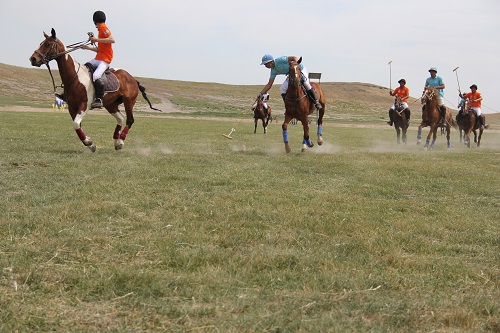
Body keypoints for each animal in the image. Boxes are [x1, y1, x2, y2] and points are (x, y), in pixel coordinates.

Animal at [28, 29, 160, 151]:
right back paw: (116, 140)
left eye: (48, 44)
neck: (75, 77)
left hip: (129, 102)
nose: (33, 59)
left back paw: (121, 141)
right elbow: (77, 126)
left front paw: (89, 143)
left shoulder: (84, 105)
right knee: (121, 118)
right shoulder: (72, 107)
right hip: (111, 104)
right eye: (41, 43)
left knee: (130, 120)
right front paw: (90, 144)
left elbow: (76, 124)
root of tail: (133, 78)